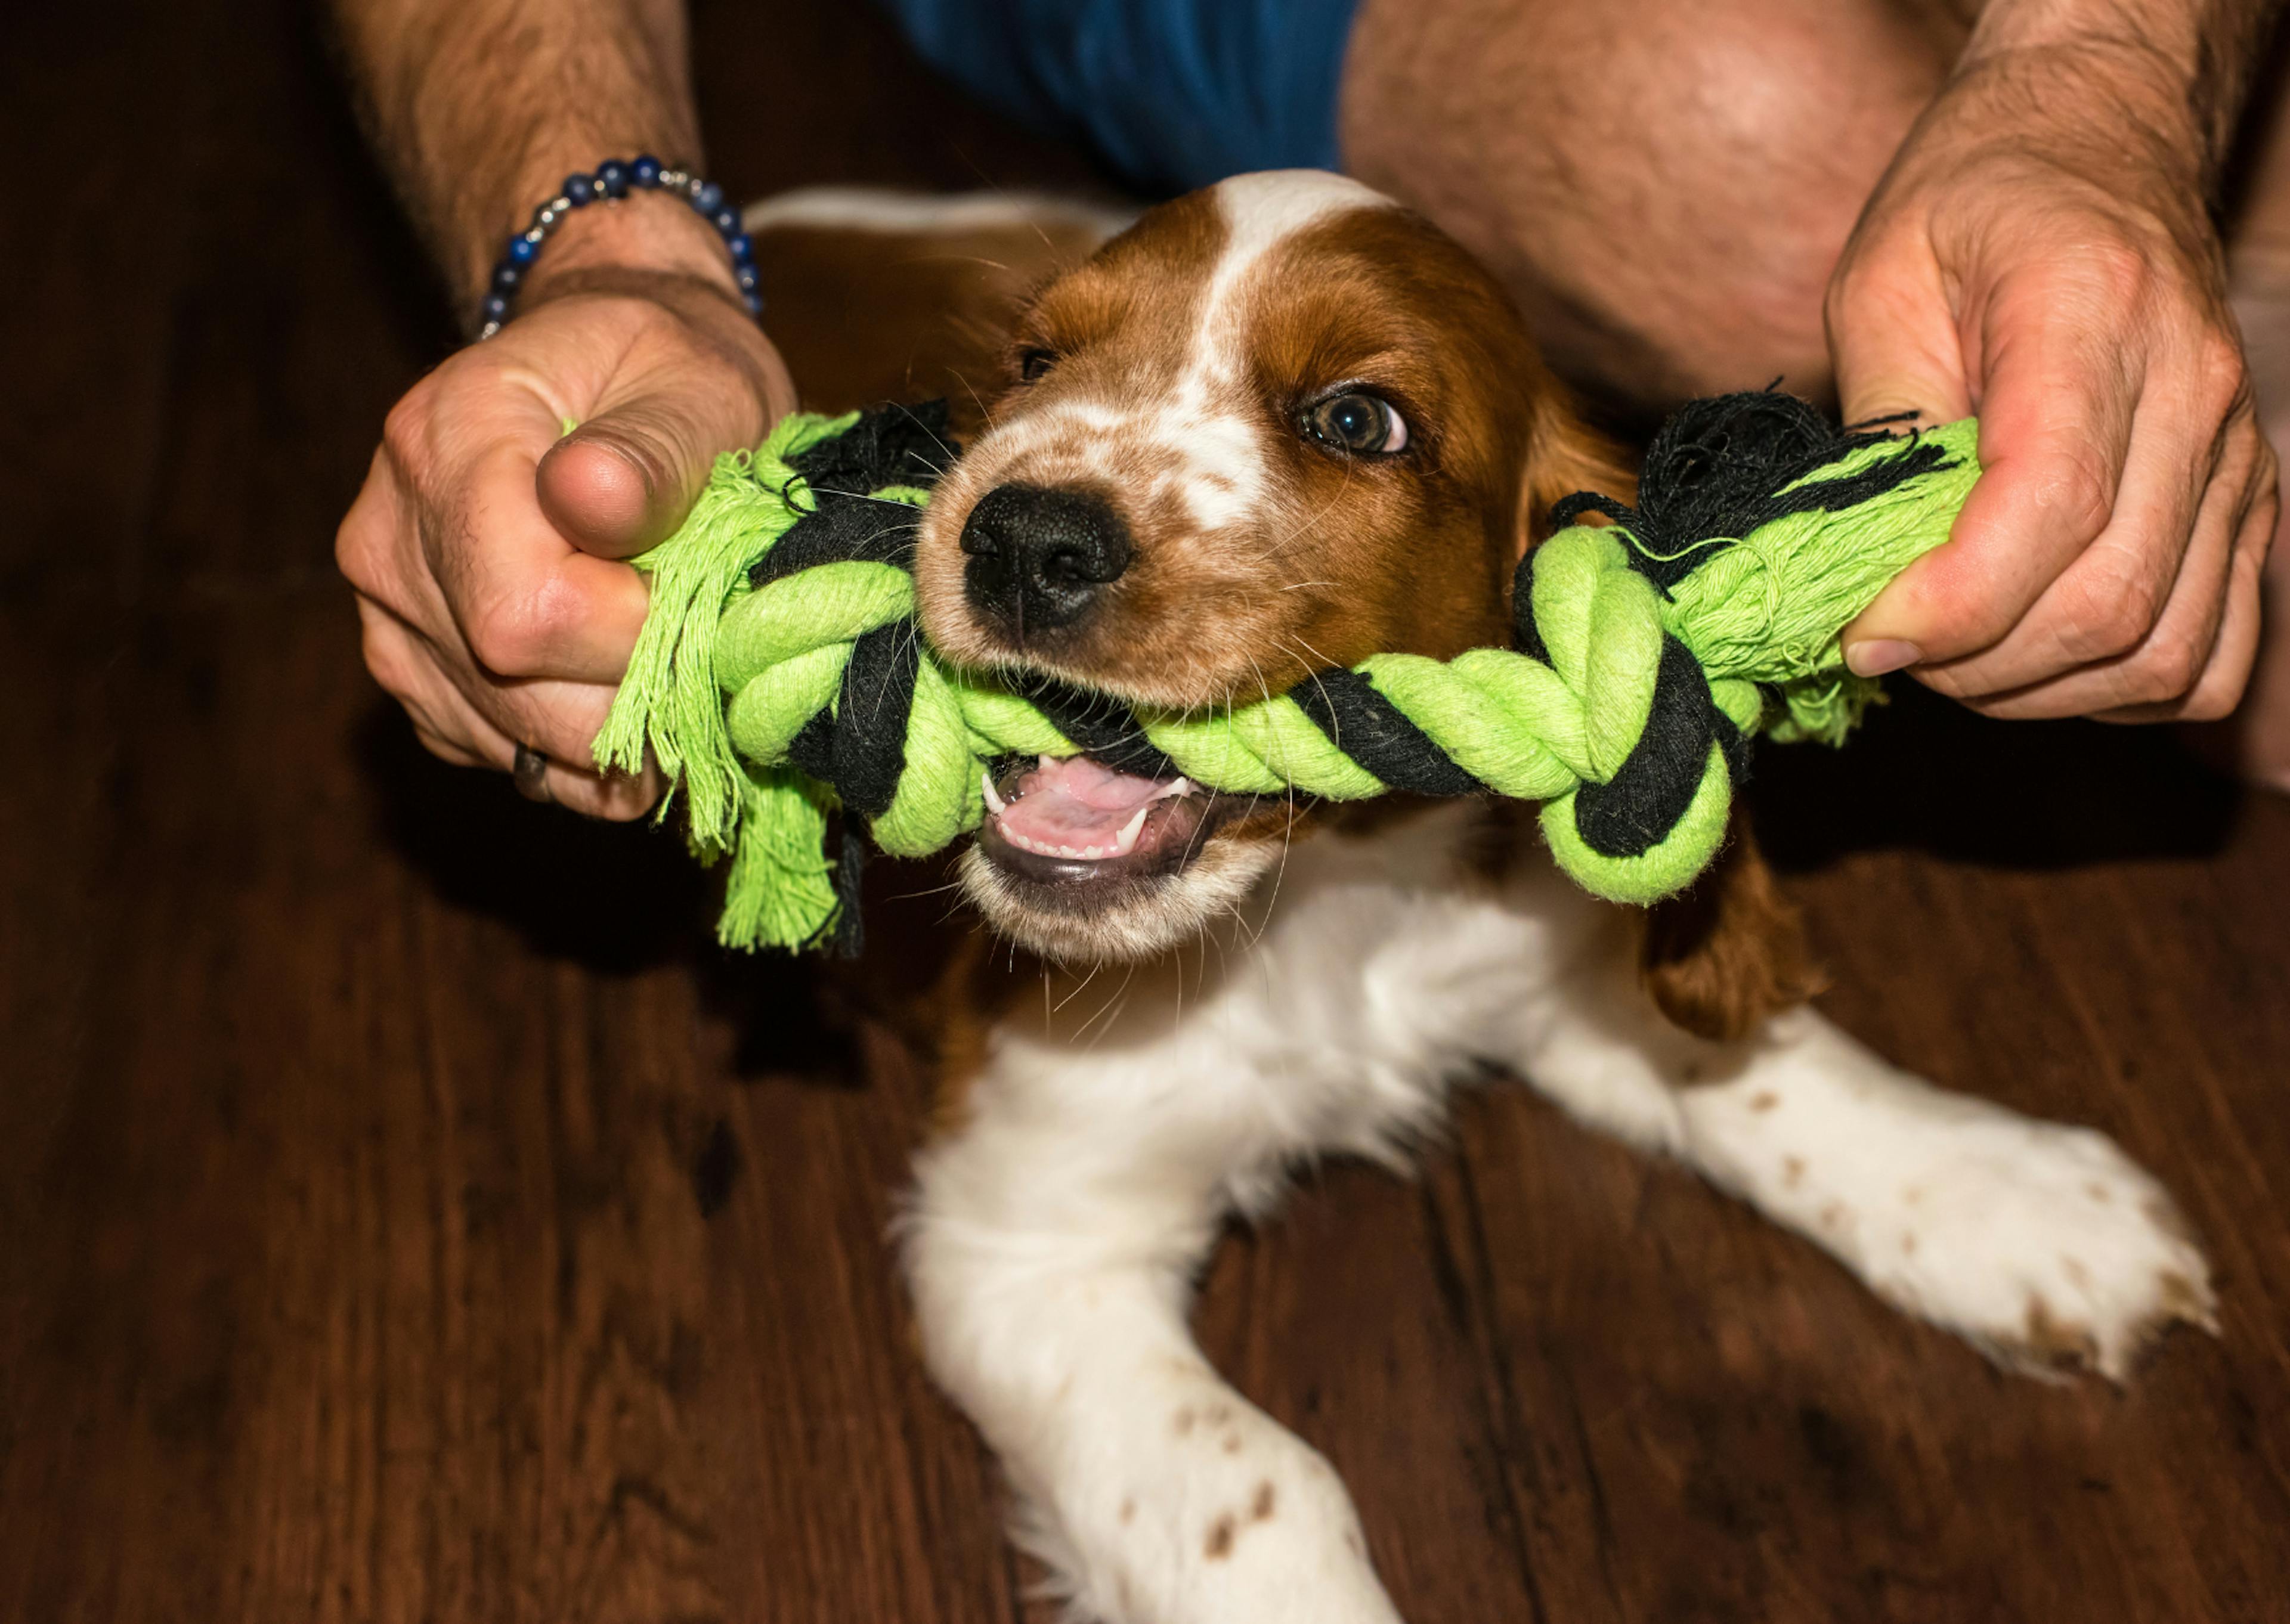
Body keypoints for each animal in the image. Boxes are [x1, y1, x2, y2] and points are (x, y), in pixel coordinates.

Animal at [760, 171, 2207, 1622]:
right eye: (1036, 365)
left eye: (1356, 420)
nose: (1021, 538)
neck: (1329, 900)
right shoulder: (1026, 1245)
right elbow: (1269, 1495)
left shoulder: (1524, 956)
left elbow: (1762, 1072)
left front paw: (2024, 1203)